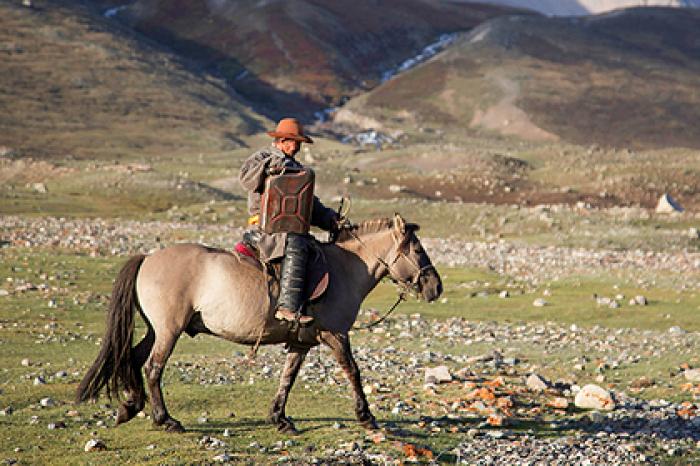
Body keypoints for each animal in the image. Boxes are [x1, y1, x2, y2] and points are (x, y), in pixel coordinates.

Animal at [76, 214, 442, 434]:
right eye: (416, 249)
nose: (435, 287)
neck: (345, 269)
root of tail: (148, 258)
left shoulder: (302, 341)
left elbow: (288, 378)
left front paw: (279, 419)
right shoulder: (335, 335)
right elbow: (353, 371)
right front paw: (367, 417)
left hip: (156, 330)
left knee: (134, 358)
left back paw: (130, 407)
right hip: (169, 329)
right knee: (153, 367)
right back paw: (165, 419)